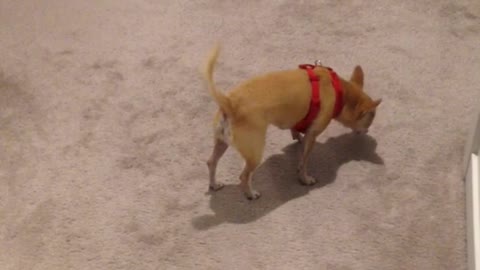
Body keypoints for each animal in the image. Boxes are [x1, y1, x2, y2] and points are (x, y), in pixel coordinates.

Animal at [203, 45, 382, 199]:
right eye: (370, 120)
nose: (367, 131)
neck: (340, 92)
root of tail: (230, 103)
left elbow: (297, 134)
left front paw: (297, 138)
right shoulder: (313, 135)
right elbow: (304, 160)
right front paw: (305, 178)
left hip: (221, 142)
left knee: (211, 162)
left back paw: (214, 184)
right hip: (254, 152)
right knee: (244, 176)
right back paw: (250, 194)